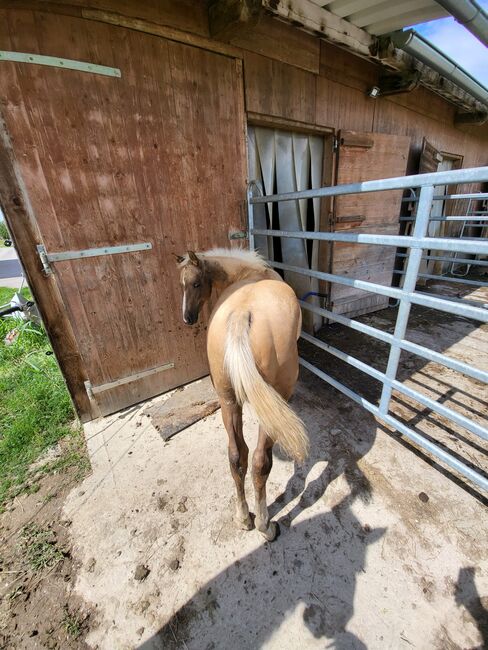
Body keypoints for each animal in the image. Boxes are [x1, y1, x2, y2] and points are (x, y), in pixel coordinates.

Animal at [176, 249, 308, 540]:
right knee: (259, 462)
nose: (187, 318)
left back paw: (243, 518)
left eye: (195, 283)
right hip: (271, 406)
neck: (248, 273)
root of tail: (241, 315)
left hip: (228, 402)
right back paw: (264, 525)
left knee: (237, 457)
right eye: (183, 284)